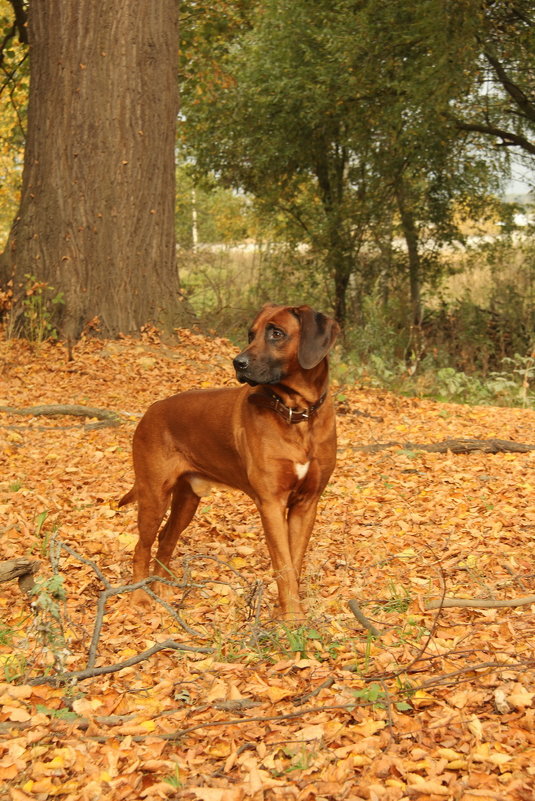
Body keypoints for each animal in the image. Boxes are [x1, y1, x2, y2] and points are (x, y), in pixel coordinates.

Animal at [120, 302, 342, 620]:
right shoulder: (271, 503)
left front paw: (289, 611)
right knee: (142, 547)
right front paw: (292, 619)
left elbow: (294, 562)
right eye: (251, 333)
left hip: (187, 499)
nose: (238, 363)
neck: (297, 415)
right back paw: (139, 598)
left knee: (166, 539)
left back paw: (162, 588)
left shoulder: (306, 503)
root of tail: (151, 411)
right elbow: (284, 565)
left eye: (276, 333)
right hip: (154, 494)